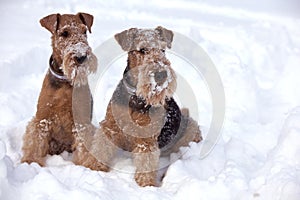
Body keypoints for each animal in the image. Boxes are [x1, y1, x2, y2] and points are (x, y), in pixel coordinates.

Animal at [21, 12, 98, 166]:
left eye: (84, 31)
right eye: (64, 33)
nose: (81, 57)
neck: (64, 80)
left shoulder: (81, 121)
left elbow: (83, 147)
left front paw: (84, 165)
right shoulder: (42, 118)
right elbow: (35, 142)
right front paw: (30, 161)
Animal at [81, 26, 202, 186]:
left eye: (163, 50)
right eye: (142, 50)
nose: (161, 74)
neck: (136, 98)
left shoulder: (147, 140)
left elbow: (146, 163)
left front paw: (146, 185)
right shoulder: (110, 127)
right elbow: (101, 149)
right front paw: (92, 167)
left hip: (190, 128)